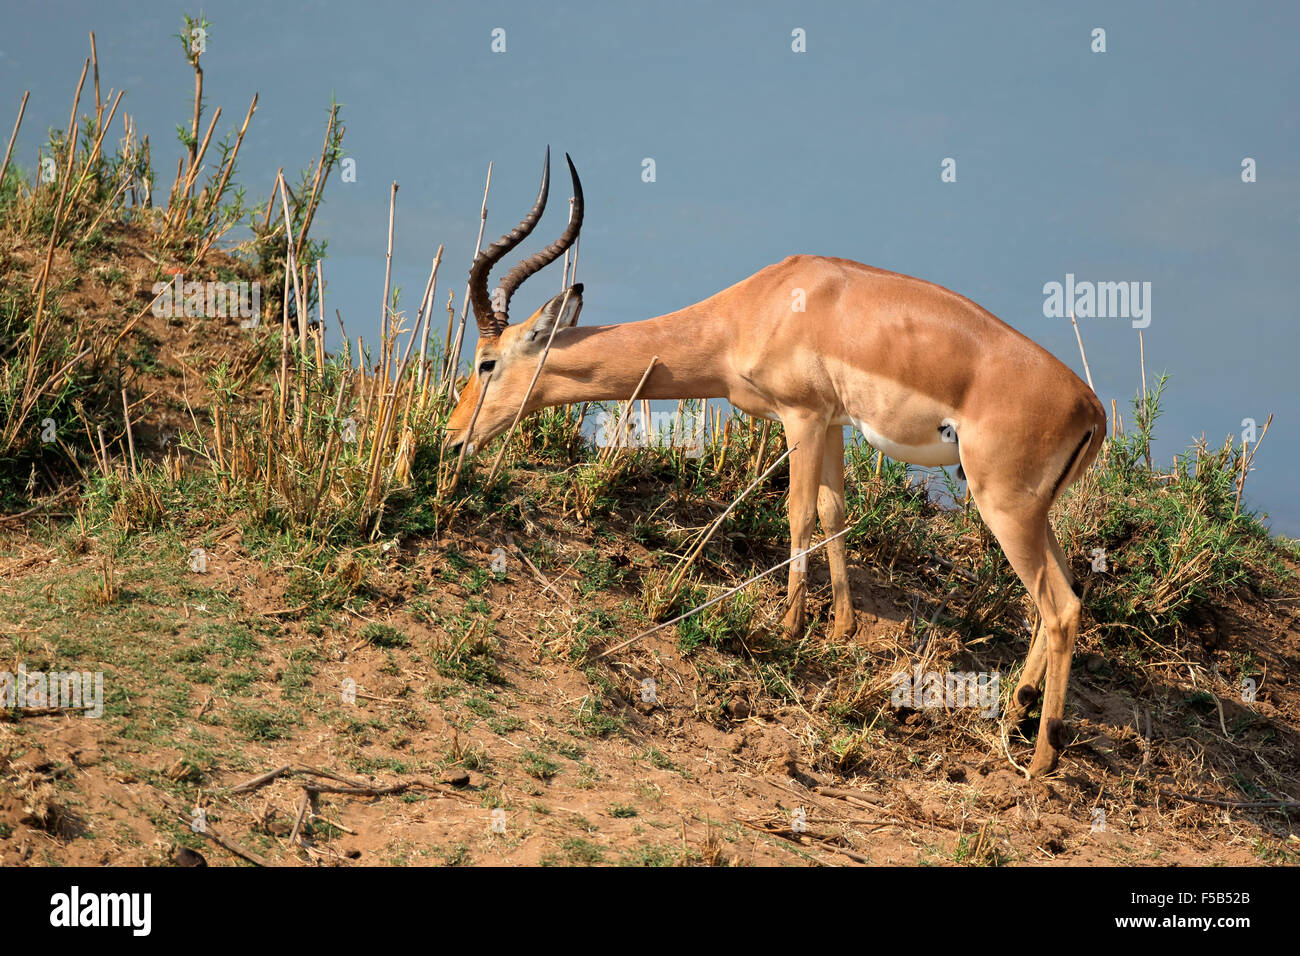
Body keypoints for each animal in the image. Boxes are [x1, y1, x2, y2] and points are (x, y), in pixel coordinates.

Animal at [444, 152, 1107, 777]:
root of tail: (1092, 408)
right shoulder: (834, 423)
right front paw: (840, 629)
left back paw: (1040, 761)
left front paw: (788, 627)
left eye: (486, 361)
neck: (754, 311)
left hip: (1004, 507)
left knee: (1060, 607)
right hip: (1031, 513)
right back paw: (1017, 711)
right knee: (1066, 589)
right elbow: (834, 510)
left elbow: (798, 514)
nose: (452, 438)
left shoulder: (802, 417)